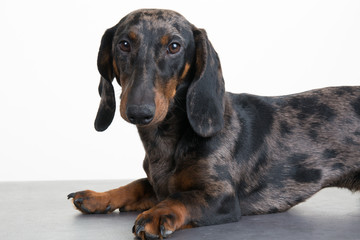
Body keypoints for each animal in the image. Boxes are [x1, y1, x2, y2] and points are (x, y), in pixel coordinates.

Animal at [67, 8, 360, 239]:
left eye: (174, 46)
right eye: (124, 44)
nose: (139, 112)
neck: (167, 140)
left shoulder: (222, 197)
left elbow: (181, 197)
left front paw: (157, 214)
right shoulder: (158, 185)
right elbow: (137, 184)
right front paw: (98, 197)